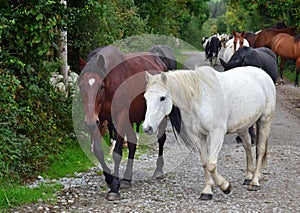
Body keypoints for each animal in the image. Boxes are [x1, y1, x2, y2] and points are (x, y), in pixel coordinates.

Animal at [79, 45, 169, 201]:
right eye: (80, 86)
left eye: (101, 86)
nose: (89, 122)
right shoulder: (99, 119)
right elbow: (98, 151)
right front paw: (110, 179)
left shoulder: (119, 117)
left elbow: (117, 153)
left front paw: (114, 187)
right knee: (133, 143)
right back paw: (127, 178)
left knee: (161, 139)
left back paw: (158, 170)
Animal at [143, 65, 276, 201]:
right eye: (146, 98)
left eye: (162, 98)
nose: (147, 127)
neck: (199, 99)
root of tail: (262, 72)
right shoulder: (198, 136)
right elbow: (205, 162)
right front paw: (207, 191)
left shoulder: (216, 134)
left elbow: (211, 164)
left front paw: (225, 187)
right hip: (242, 126)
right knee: (247, 146)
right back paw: (248, 177)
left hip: (265, 120)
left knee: (260, 149)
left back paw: (255, 182)